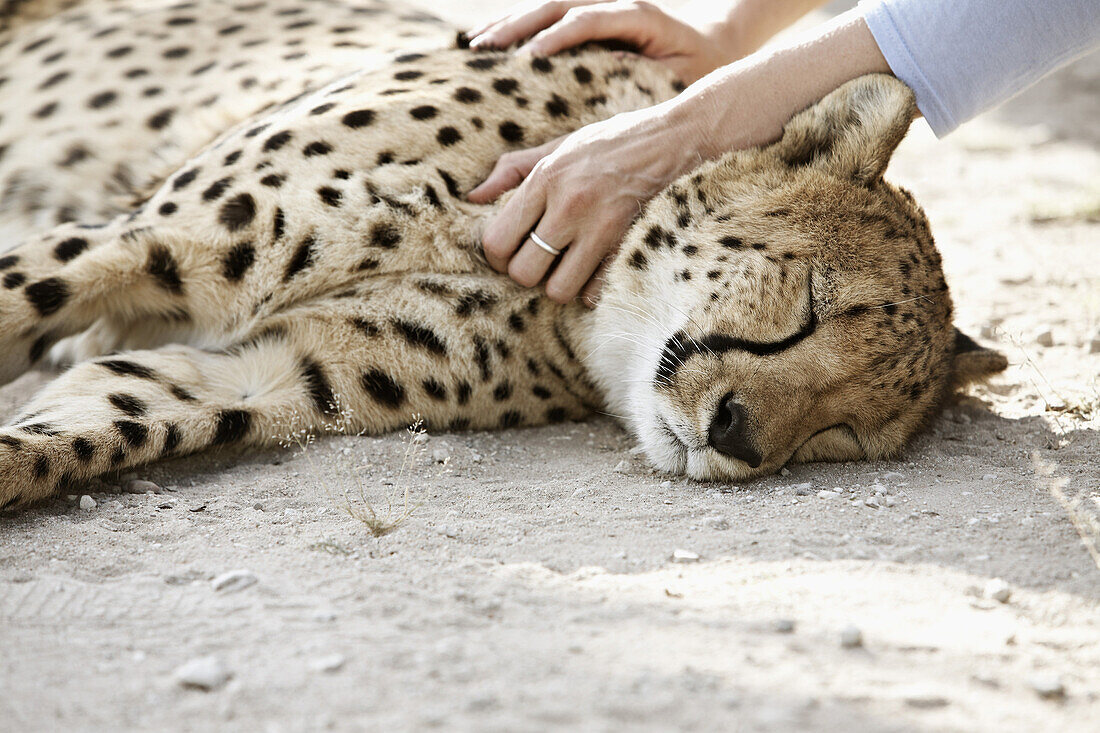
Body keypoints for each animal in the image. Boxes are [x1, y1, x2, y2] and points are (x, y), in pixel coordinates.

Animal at [0, 0, 1007, 508]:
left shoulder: (266, 374)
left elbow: (72, 439)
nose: (740, 434)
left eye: (843, 436)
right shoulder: (138, 238)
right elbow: (26, 299)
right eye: (810, 304)